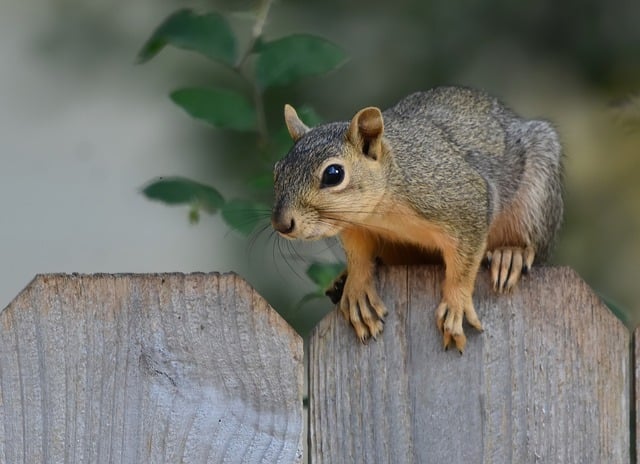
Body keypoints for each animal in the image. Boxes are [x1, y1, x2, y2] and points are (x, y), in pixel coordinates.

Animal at [271, 86, 563, 352]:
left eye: (334, 174)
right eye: (277, 171)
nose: (282, 224)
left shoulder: (467, 202)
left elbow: (464, 264)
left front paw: (456, 304)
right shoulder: (356, 227)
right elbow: (359, 256)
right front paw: (356, 287)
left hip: (539, 192)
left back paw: (510, 254)